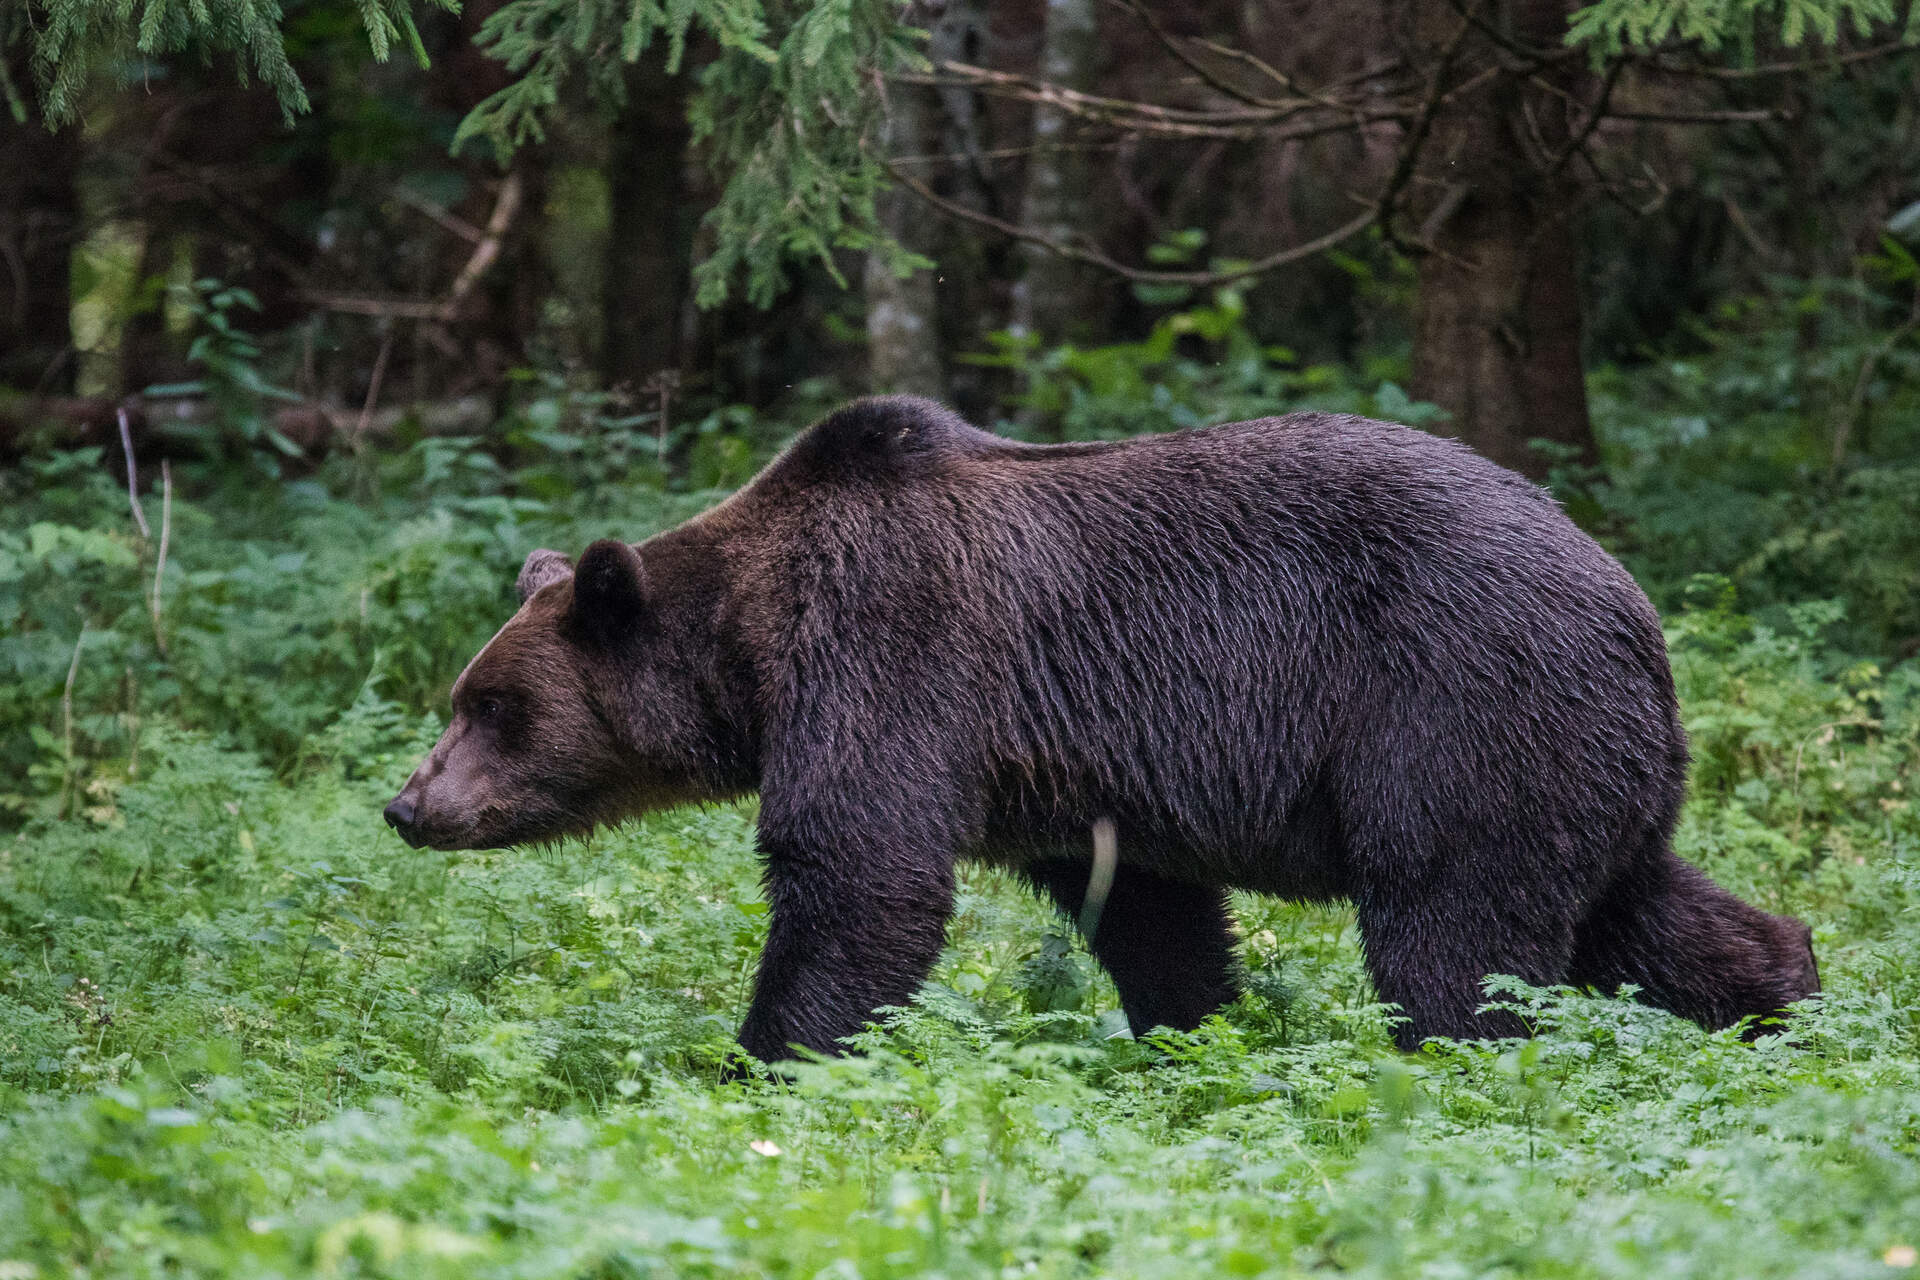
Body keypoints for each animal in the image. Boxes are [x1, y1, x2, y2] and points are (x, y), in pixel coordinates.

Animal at [382, 397, 1820, 1059]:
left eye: (492, 706)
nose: (407, 802)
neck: (753, 648)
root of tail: (1636, 605)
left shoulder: (895, 656)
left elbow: (859, 874)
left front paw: (761, 1060)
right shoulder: (1066, 772)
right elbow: (1147, 910)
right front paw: (1190, 1035)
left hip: (1459, 709)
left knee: (1457, 936)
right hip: (1579, 751)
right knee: (1641, 906)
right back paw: (1787, 1000)